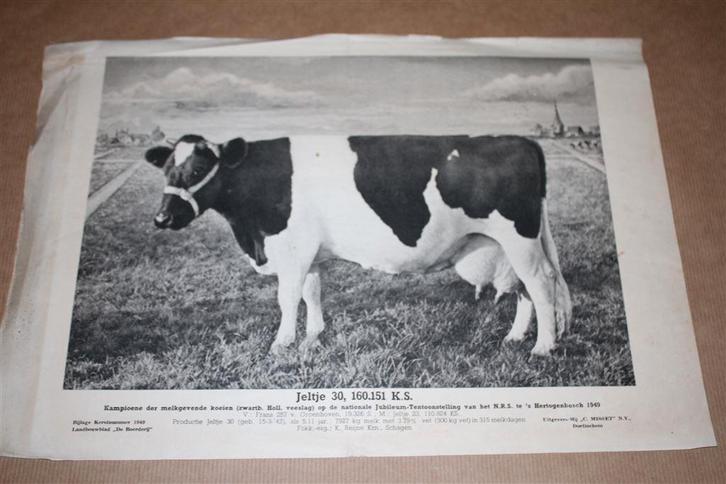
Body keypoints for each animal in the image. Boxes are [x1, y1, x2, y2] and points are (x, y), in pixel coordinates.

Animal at [145, 134, 572, 356]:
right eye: (166, 170)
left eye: (198, 170)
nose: (161, 218)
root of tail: (522, 140)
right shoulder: (311, 253)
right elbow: (312, 293)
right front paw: (314, 336)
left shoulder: (293, 250)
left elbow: (287, 298)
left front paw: (282, 344)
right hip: (507, 243)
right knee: (523, 288)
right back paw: (516, 337)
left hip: (519, 236)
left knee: (540, 283)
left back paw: (543, 346)